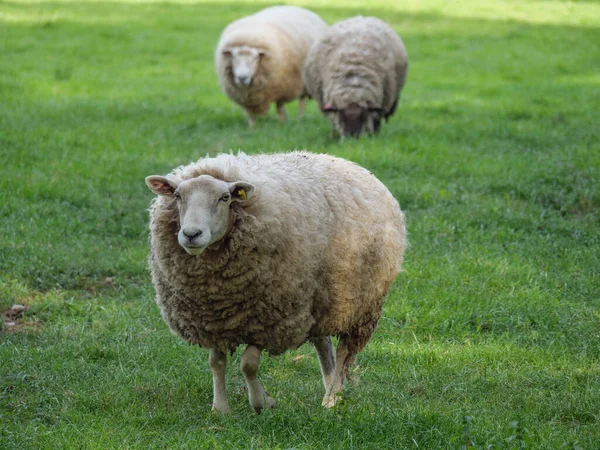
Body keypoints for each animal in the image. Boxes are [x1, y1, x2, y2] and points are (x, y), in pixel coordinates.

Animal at [146, 152, 408, 414]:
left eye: (225, 197)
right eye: (178, 196)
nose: (191, 234)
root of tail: (348, 163)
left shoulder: (268, 320)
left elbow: (248, 364)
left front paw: (261, 401)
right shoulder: (212, 320)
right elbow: (216, 362)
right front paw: (221, 409)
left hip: (359, 306)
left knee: (344, 350)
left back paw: (331, 398)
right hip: (319, 299)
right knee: (323, 344)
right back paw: (331, 387)